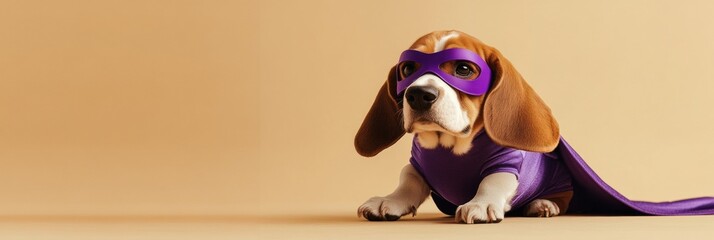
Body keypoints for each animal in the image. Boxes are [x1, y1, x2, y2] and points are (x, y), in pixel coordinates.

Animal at [354, 30, 568, 223]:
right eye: (407, 69)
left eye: (463, 69)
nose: (419, 95)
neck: (448, 146)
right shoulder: (416, 164)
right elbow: (408, 180)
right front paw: (390, 200)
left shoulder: (506, 161)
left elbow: (494, 180)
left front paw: (481, 203)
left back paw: (542, 204)